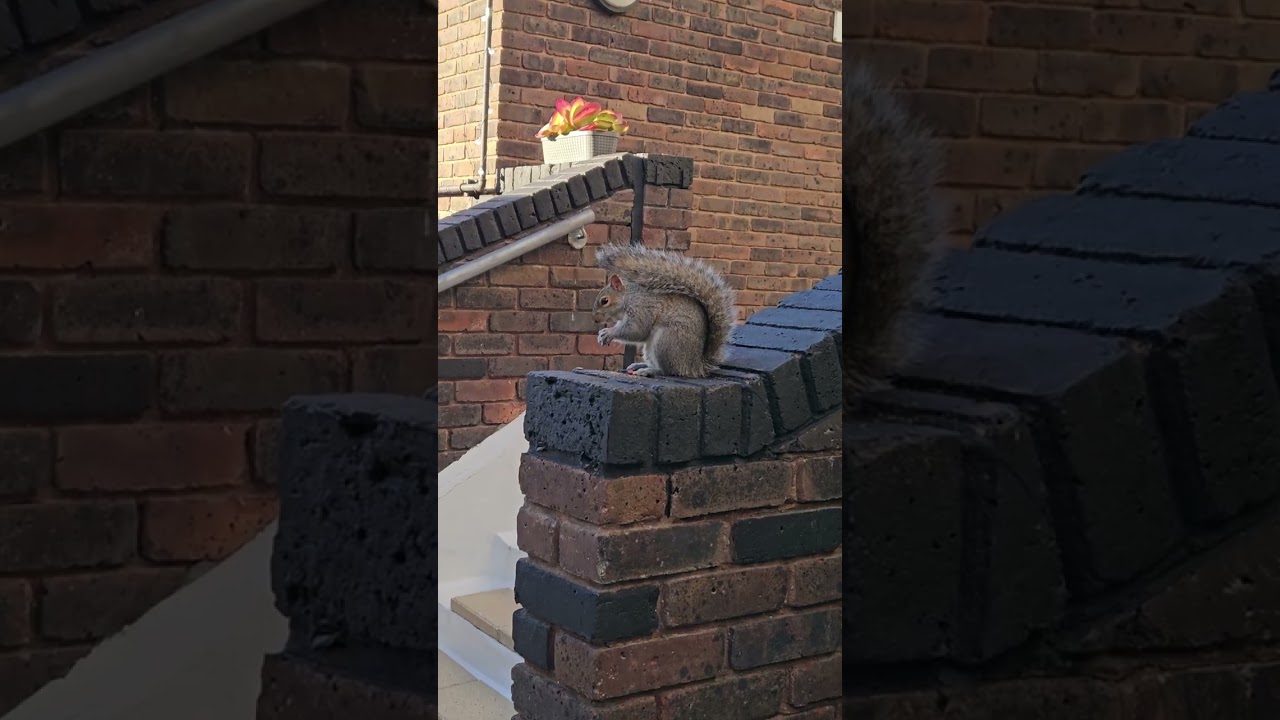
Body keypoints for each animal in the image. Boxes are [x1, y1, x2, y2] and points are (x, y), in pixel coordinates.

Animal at [591, 243, 737, 379]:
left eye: (604, 301)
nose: (595, 319)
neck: (629, 298)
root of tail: (694, 366)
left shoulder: (642, 309)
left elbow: (636, 331)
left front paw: (607, 333)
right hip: (652, 348)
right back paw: (640, 365)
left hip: (666, 342)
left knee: (668, 371)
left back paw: (649, 370)